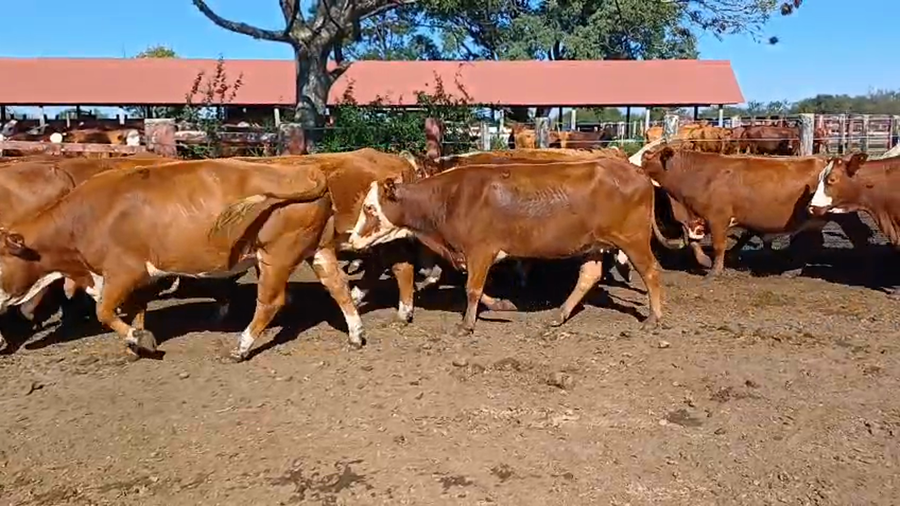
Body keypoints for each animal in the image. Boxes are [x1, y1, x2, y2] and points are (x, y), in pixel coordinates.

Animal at [0, 158, 355, 361]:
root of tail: (305, 171)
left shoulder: (122, 270)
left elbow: (104, 311)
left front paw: (138, 339)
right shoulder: (138, 276)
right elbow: (136, 310)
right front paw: (136, 345)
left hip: (275, 255)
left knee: (270, 302)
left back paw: (241, 347)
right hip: (318, 249)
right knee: (338, 286)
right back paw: (356, 334)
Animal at [347, 158, 685, 335]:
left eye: (369, 208)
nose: (352, 239)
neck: (451, 197)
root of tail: (636, 171)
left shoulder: (480, 249)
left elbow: (472, 288)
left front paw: (466, 325)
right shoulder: (472, 254)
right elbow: (476, 288)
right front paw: (501, 305)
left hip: (633, 240)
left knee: (651, 273)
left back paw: (654, 318)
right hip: (595, 244)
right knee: (588, 277)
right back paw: (559, 315)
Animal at [639, 146, 874, 276]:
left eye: (649, 158)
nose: (638, 166)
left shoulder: (718, 218)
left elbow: (719, 245)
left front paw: (714, 271)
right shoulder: (698, 219)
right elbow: (694, 242)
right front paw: (705, 262)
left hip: (842, 215)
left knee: (858, 236)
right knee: (813, 243)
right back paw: (791, 271)